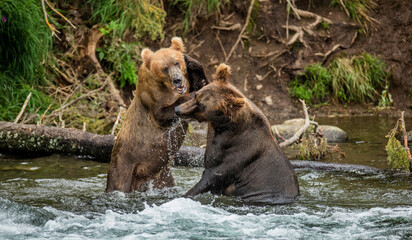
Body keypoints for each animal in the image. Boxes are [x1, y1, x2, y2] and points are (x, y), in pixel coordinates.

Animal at [106, 37, 208, 193]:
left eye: (177, 62)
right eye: (164, 68)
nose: (177, 80)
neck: (167, 88)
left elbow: (202, 83)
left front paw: (192, 63)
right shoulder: (151, 97)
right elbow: (163, 115)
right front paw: (189, 97)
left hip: (162, 175)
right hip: (124, 163)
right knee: (119, 182)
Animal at [174, 62, 300, 203]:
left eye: (202, 106)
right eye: (196, 95)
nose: (177, 109)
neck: (222, 128)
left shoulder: (237, 155)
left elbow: (212, 177)